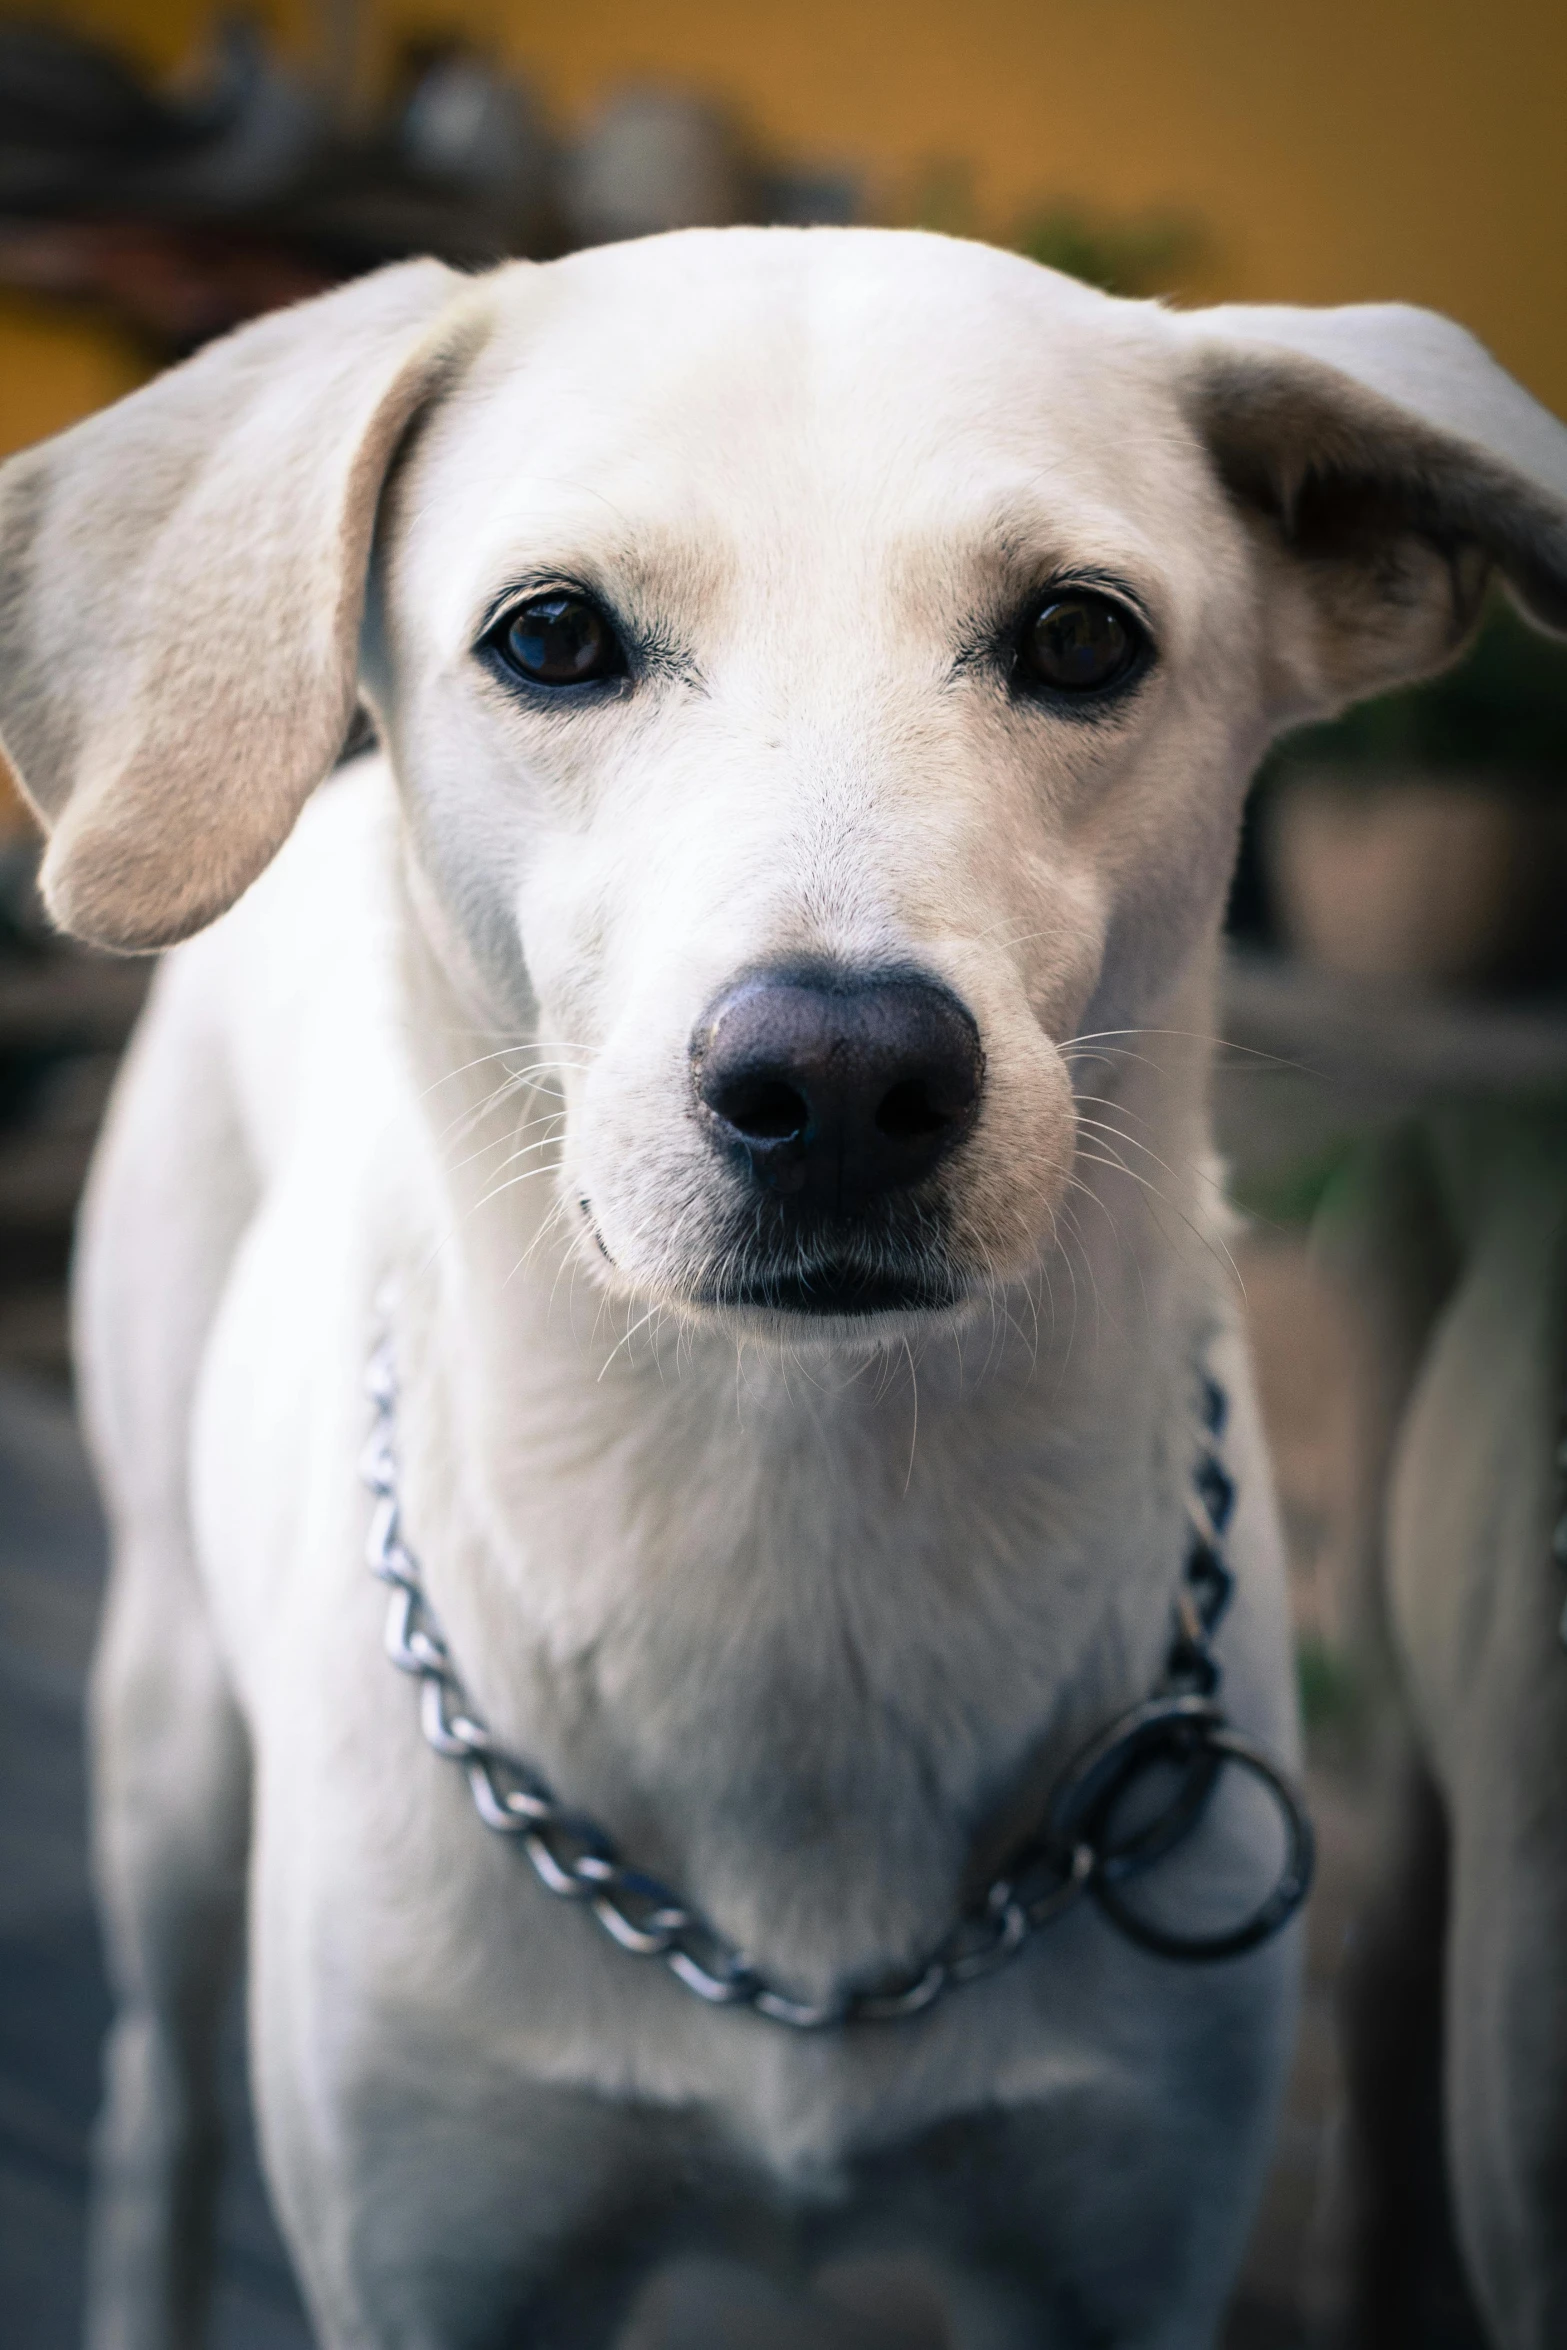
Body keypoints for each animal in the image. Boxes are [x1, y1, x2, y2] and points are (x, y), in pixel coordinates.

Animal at [0, 224, 1559, 2350]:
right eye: (552, 638)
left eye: (1081, 642)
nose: (837, 1078)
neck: (791, 1544)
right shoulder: (438, 2255)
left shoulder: (1121, 2244)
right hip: (165, 1730)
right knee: (158, 2102)